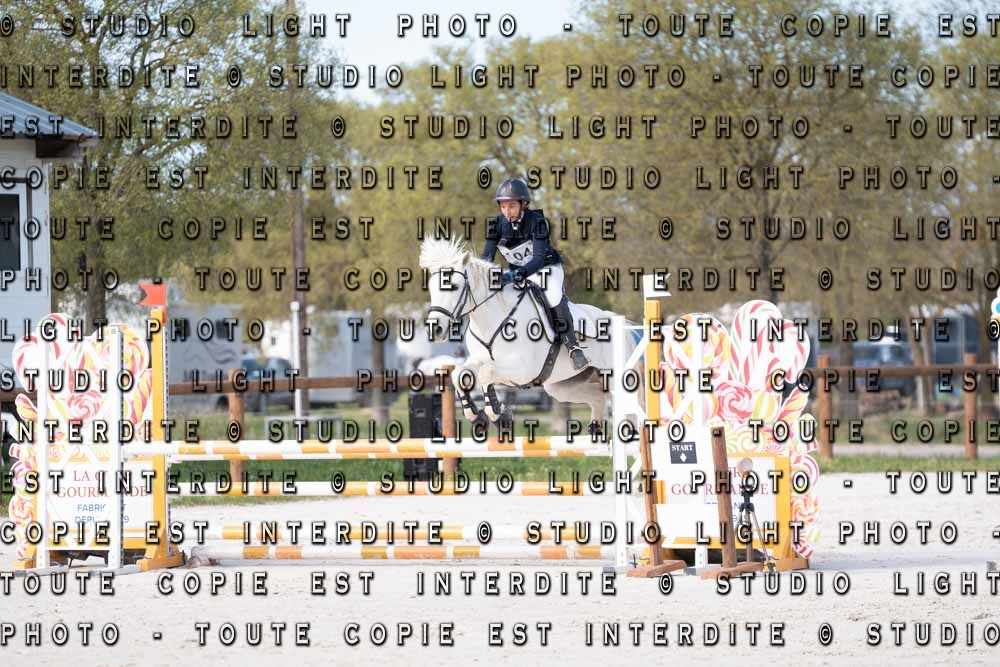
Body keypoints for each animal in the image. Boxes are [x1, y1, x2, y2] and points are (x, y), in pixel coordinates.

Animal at [419, 237, 639, 435]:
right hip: (562, 386)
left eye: (454, 286)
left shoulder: (524, 369)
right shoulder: (480, 359)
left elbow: (486, 373)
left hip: (613, 379)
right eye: (431, 288)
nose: (434, 330)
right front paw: (478, 416)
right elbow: (461, 374)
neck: (492, 319)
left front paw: (497, 415)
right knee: (598, 398)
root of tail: (617, 320)